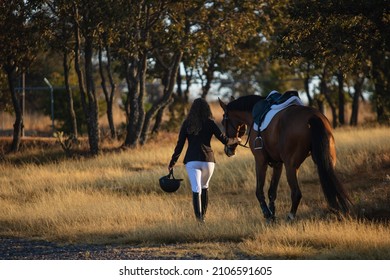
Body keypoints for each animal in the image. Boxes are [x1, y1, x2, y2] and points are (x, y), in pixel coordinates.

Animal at [218, 93, 352, 222]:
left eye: (223, 122)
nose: (228, 150)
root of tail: (314, 116)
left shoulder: (260, 161)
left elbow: (259, 190)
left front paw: (267, 214)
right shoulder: (278, 164)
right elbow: (272, 191)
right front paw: (272, 215)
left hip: (291, 166)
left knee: (296, 193)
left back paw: (290, 217)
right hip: (326, 162)